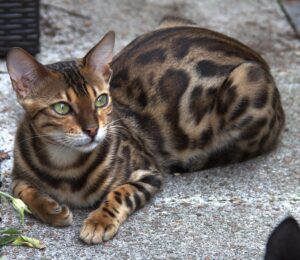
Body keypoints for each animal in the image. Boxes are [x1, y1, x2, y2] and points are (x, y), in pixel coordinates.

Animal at [6, 18, 284, 244]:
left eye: (101, 100)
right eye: (62, 107)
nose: (93, 129)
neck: (65, 166)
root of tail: (260, 60)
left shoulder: (149, 172)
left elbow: (120, 193)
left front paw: (99, 221)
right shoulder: (17, 175)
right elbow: (21, 191)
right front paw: (51, 208)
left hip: (247, 81)